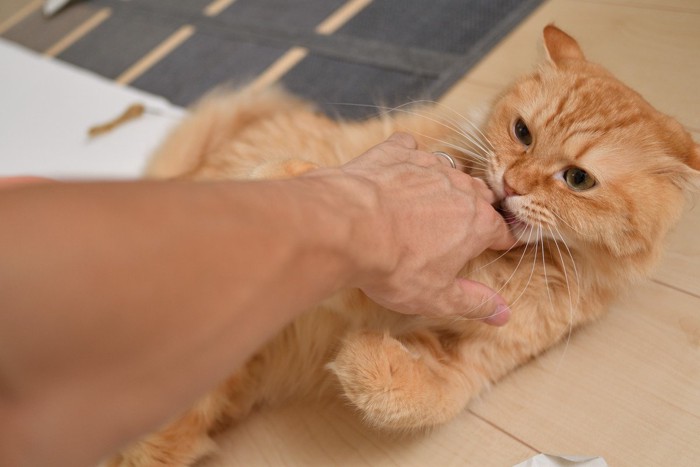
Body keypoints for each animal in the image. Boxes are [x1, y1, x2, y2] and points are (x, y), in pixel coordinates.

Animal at [106, 26, 696, 467]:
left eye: (577, 179)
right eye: (522, 133)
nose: (512, 183)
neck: (515, 263)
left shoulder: (477, 358)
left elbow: (421, 399)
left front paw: (359, 358)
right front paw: (300, 183)